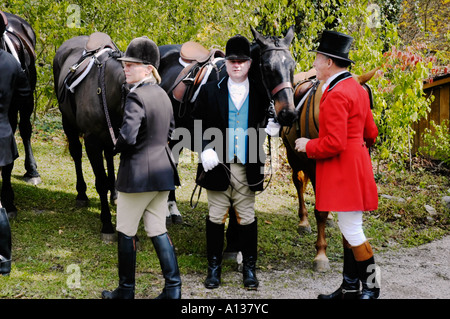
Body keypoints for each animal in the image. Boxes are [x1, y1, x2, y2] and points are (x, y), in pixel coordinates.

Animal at [53, 33, 125, 242]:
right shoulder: (92, 142)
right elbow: (100, 182)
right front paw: (107, 225)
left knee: (108, 156)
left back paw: (114, 194)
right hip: (68, 123)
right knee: (76, 154)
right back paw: (81, 194)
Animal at [284, 67, 378, 272]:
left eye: (368, 105)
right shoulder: (313, 167)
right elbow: (319, 210)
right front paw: (321, 255)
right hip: (293, 157)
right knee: (298, 183)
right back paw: (303, 221)